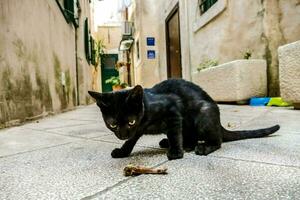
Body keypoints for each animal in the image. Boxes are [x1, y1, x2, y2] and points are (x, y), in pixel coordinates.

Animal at [88, 79, 280, 160]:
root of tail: (219, 124)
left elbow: (174, 133)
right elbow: (132, 140)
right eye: (112, 124)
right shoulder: (137, 130)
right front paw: (123, 151)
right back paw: (178, 143)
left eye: (131, 121)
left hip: (203, 114)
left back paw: (200, 147)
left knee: (217, 141)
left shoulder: (173, 112)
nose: (122, 134)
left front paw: (175, 152)